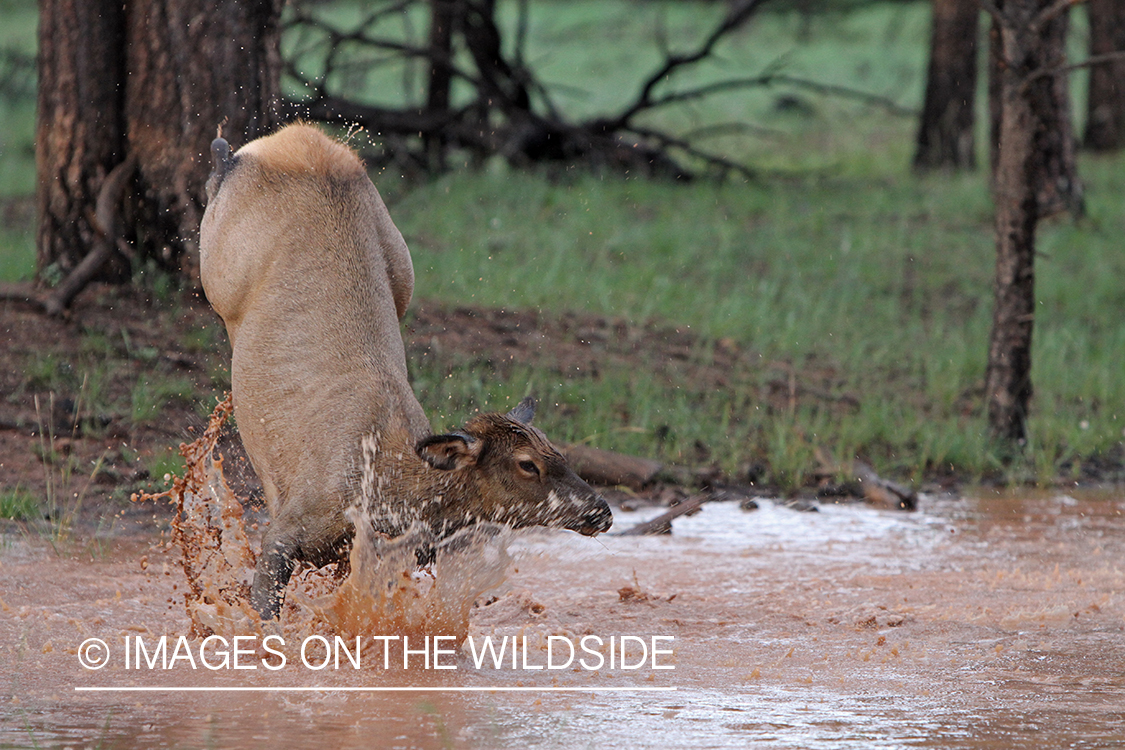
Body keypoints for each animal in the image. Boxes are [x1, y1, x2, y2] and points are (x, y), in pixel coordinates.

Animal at [198, 123, 612, 620]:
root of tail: (294, 134)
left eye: (559, 452)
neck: (385, 496)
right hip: (219, 263)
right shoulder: (287, 527)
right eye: (527, 464)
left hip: (402, 265)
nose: (602, 511)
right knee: (215, 176)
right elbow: (265, 613)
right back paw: (221, 152)